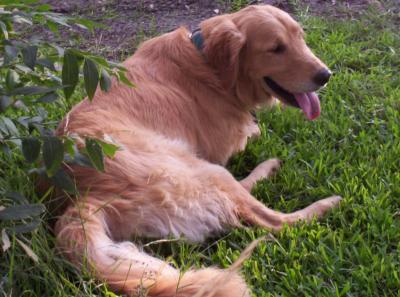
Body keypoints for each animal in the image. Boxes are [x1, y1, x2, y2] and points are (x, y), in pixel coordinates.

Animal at [53, 5, 340, 296]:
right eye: (276, 48)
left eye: (300, 38)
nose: (325, 75)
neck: (209, 64)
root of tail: (86, 196)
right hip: (204, 171)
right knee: (273, 219)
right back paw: (325, 203)